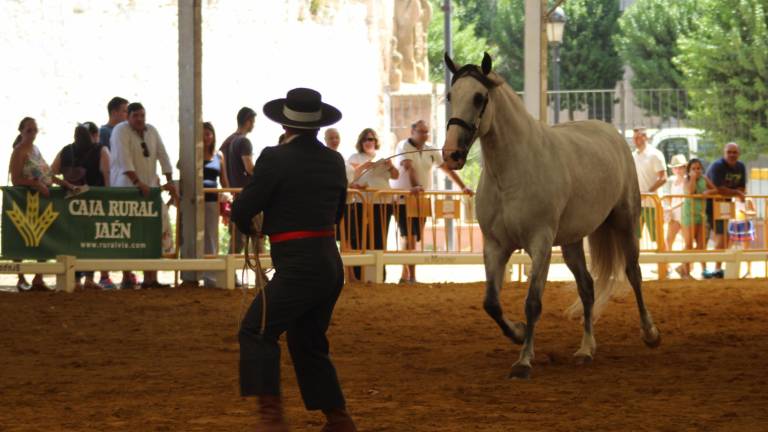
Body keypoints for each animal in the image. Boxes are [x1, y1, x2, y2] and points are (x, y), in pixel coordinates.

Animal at [444, 53, 660, 378]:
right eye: (450, 96)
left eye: (479, 97)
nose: (451, 154)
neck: (511, 174)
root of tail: (612, 132)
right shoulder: (495, 246)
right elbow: (491, 303)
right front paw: (518, 333)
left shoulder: (540, 244)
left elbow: (533, 302)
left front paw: (523, 361)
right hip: (571, 242)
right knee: (587, 287)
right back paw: (585, 349)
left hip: (625, 222)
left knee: (633, 274)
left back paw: (650, 334)